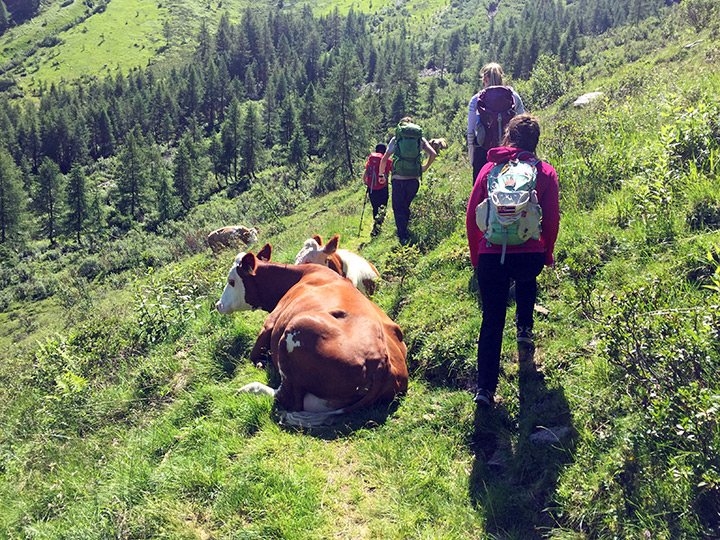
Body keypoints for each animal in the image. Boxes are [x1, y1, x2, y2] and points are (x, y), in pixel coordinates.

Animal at [217, 245, 408, 426]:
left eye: (231, 281)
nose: (219, 304)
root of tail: (382, 362)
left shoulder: (269, 323)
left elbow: (253, 354)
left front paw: (261, 363)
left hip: (295, 328)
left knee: (288, 399)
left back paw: (249, 388)